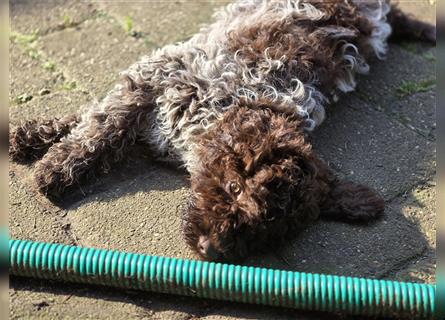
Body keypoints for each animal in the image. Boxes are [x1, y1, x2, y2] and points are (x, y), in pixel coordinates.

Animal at [10, 0, 434, 262]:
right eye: (233, 188)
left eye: (269, 233)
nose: (211, 250)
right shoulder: (157, 76)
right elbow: (98, 123)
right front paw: (48, 157)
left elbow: (100, 121)